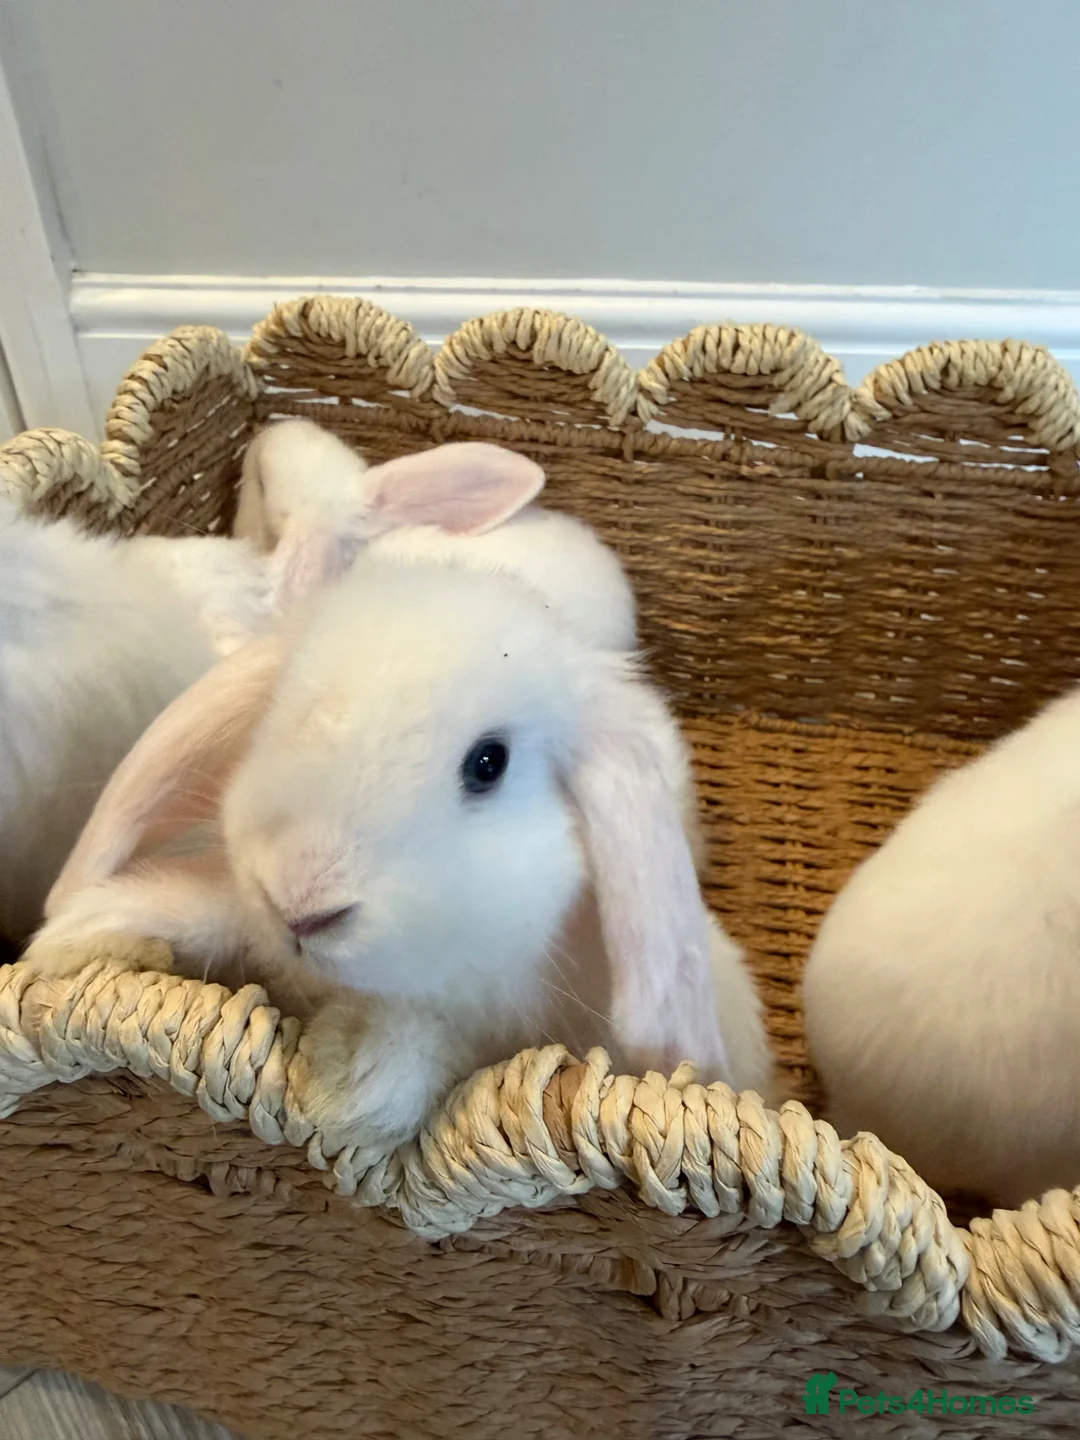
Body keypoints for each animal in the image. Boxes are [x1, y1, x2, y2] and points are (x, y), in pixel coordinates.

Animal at [25, 457, 773, 1160]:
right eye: (288, 709)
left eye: (489, 763)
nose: (302, 904)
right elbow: (203, 911)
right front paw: (80, 940)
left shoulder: (489, 1021)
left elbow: (432, 1040)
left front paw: (344, 1084)